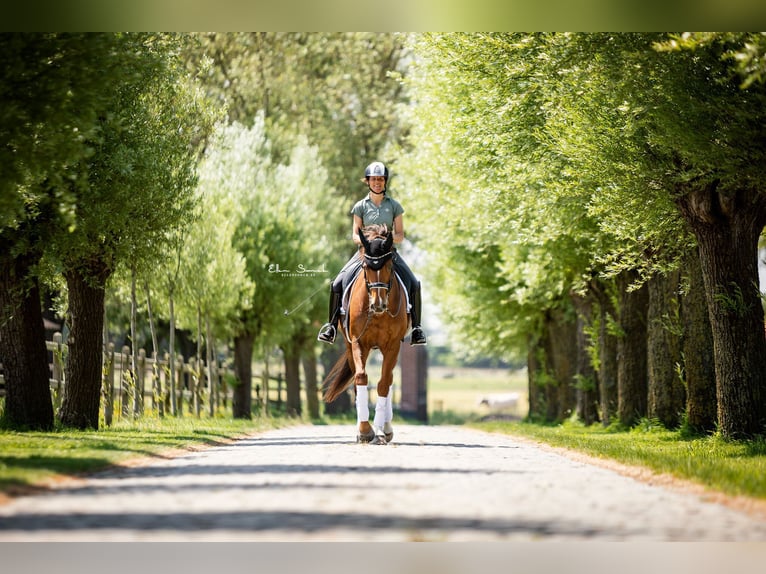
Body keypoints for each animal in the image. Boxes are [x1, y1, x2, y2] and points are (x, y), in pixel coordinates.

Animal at [322, 224, 410, 444]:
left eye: (389, 266)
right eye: (366, 267)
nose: (378, 304)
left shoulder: (393, 346)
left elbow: (384, 384)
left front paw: (379, 430)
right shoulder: (357, 342)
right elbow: (361, 378)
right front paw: (364, 430)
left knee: (389, 380)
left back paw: (386, 428)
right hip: (351, 346)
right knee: (356, 379)